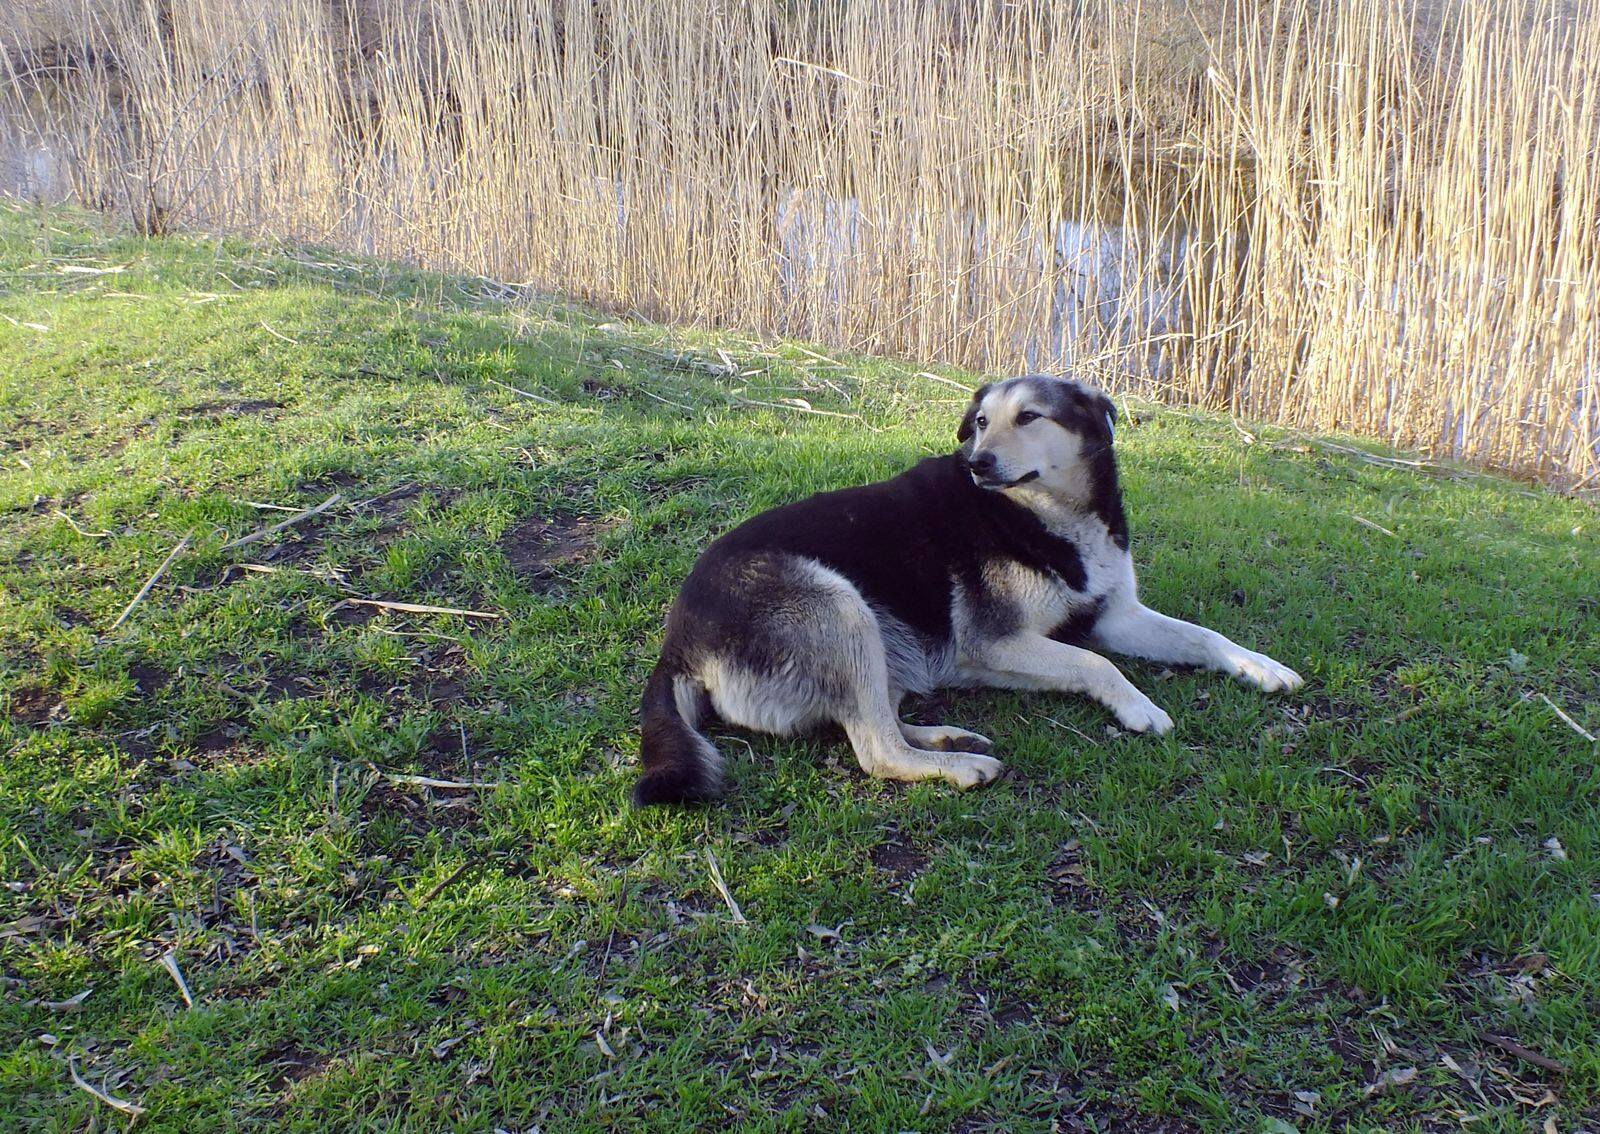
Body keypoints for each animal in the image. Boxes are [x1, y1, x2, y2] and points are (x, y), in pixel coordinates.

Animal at [633, 374, 1302, 805]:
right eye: (981, 422)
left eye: (1029, 417)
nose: (977, 462)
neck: (1048, 514)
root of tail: (676, 645)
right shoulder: (998, 643)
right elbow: (1096, 664)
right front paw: (1140, 707)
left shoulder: (1116, 614)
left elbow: (1204, 635)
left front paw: (1260, 666)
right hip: (839, 607)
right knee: (875, 747)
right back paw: (960, 766)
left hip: (869, 639)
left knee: (866, 720)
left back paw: (946, 737)